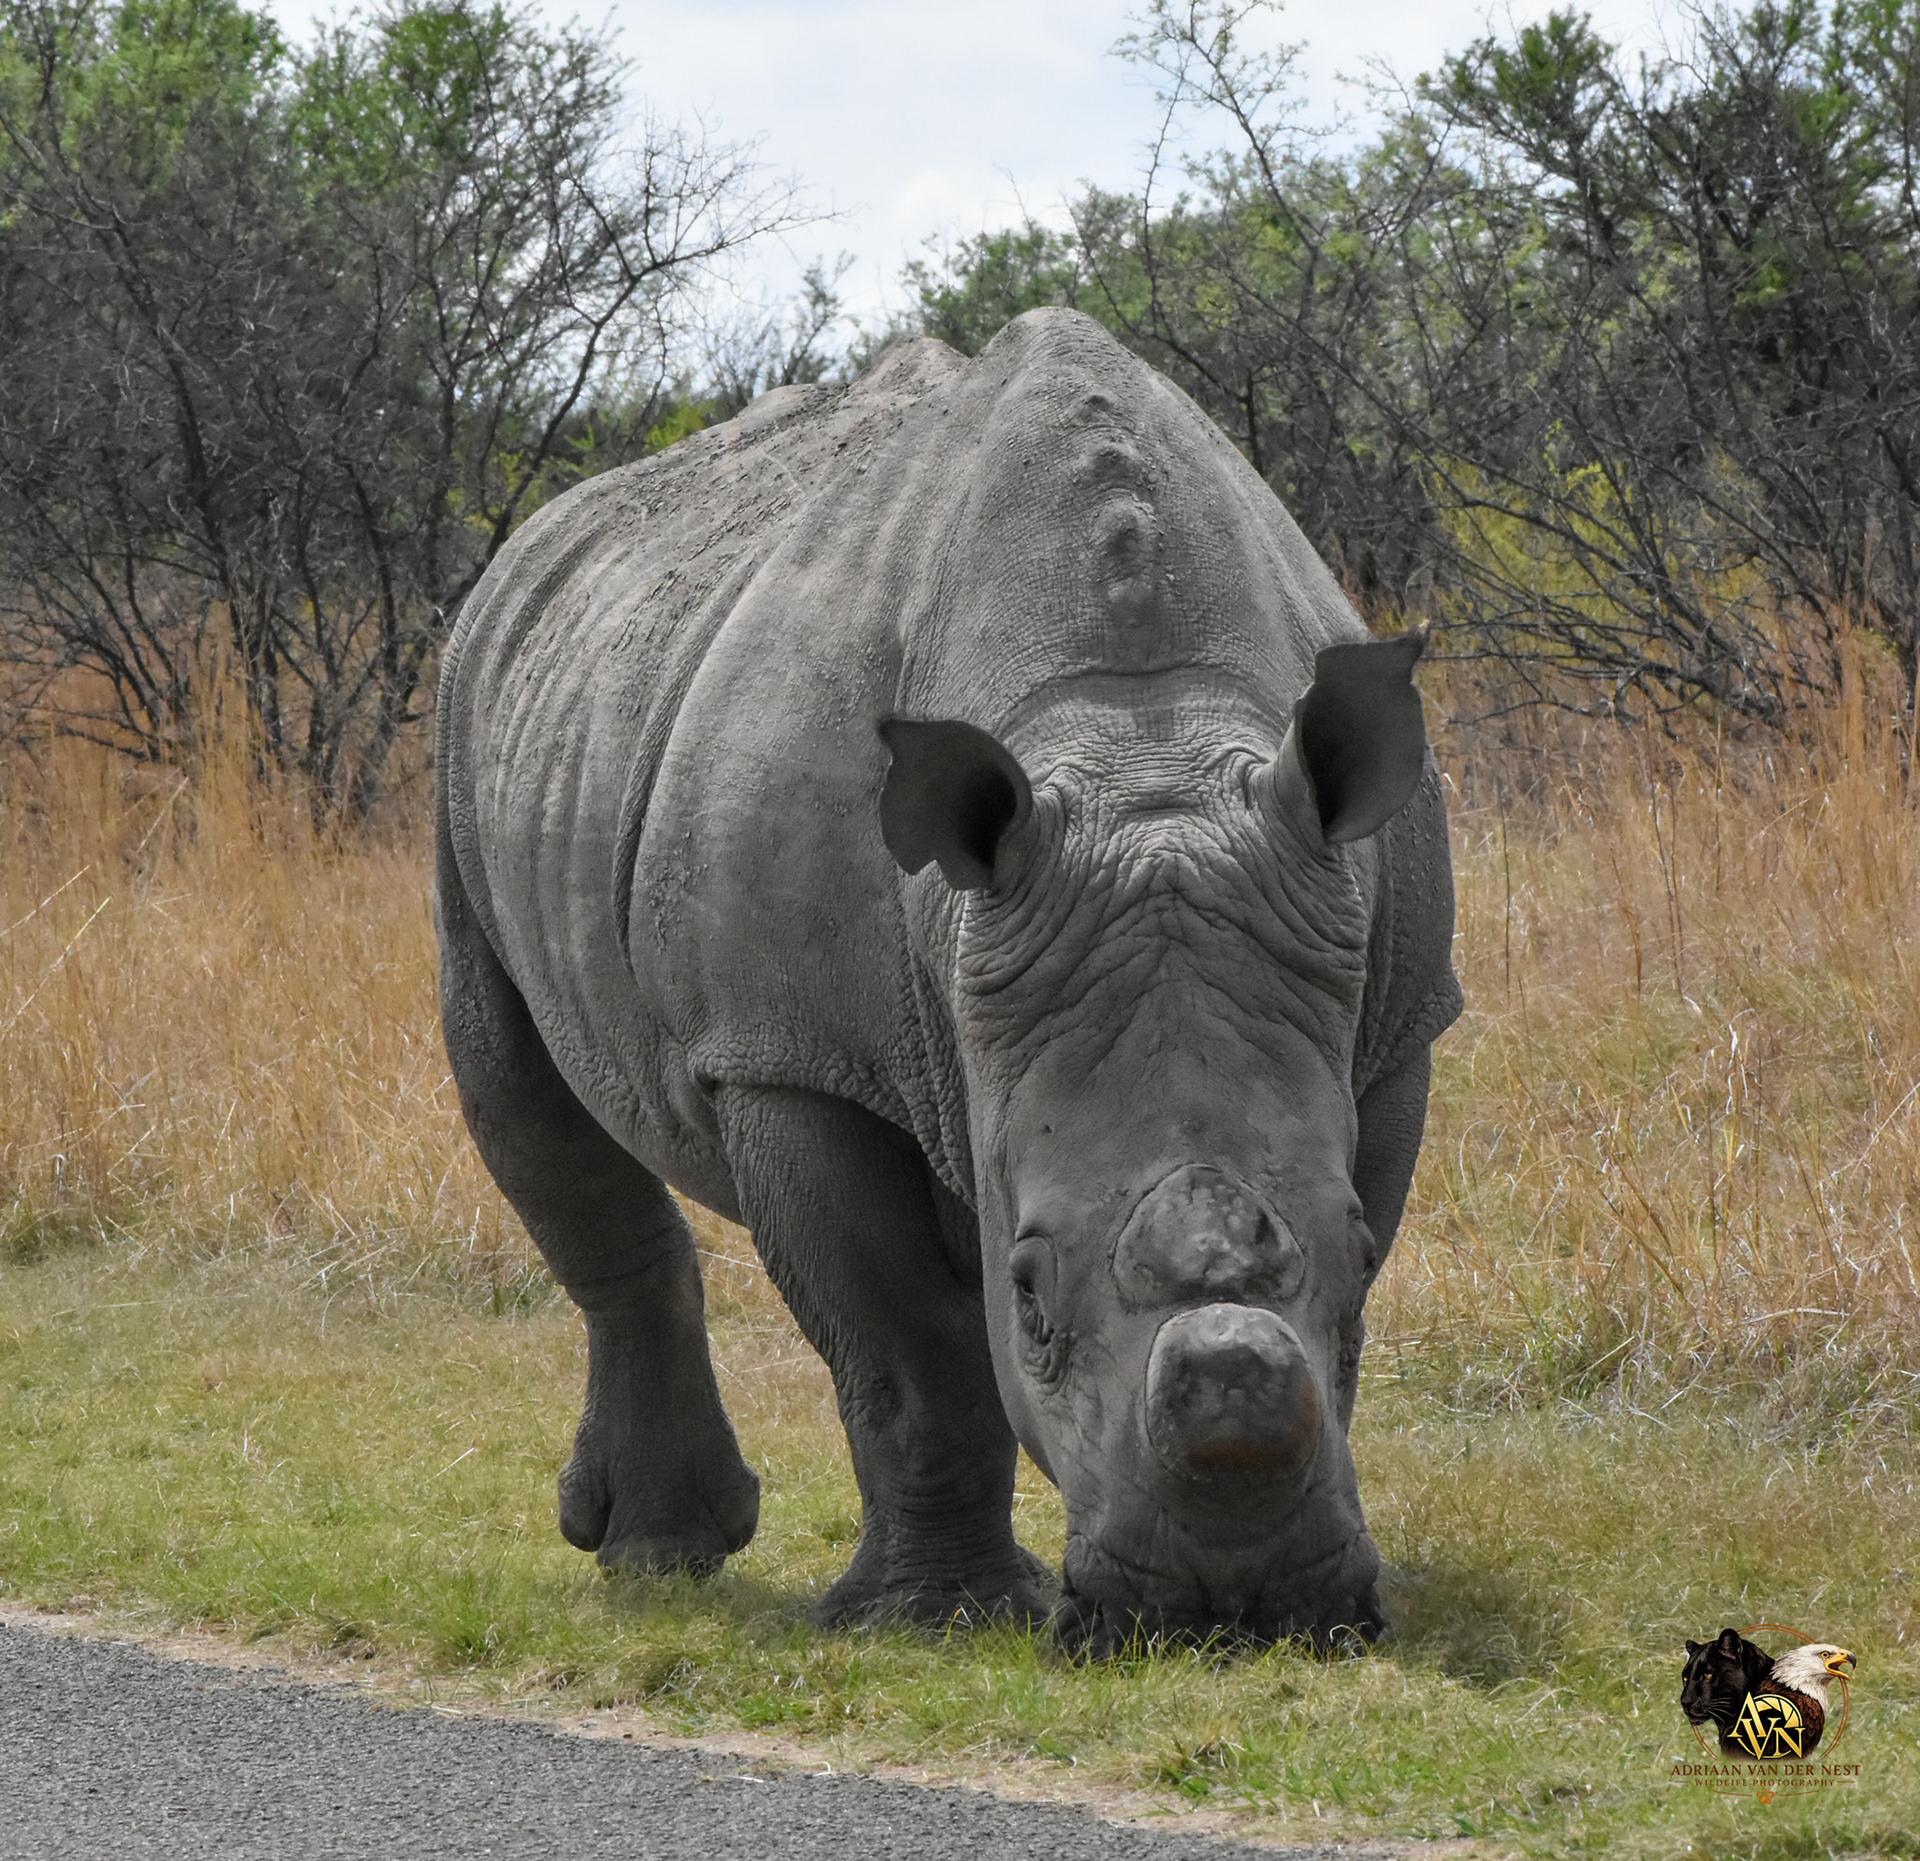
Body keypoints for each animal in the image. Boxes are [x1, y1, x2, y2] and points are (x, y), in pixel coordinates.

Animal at [434, 308, 1461, 1652]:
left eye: (1353, 1244)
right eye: (1026, 1291)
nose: (1231, 1609)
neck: (1138, 739)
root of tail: (537, 542)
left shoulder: (1394, 1021)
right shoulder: (788, 1056)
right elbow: (907, 1350)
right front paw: (935, 1620)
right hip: (464, 707)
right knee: (519, 1082)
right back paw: (657, 1562)